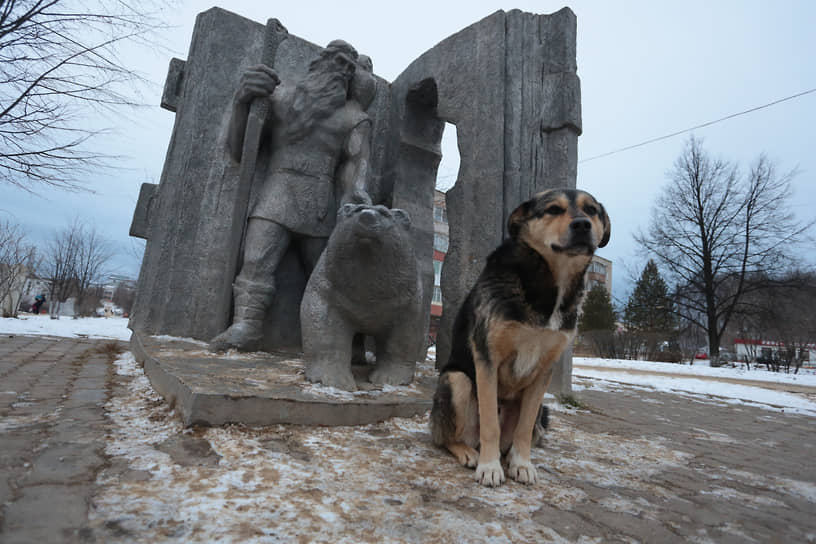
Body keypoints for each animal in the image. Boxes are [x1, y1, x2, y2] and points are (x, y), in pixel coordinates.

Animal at [430, 189, 608, 486]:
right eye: (553, 209)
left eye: (591, 210)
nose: (582, 225)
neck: (551, 284)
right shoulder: (487, 359)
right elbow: (490, 424)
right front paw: (490, 467)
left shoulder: (544, 371)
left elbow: (523, 430)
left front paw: (522, 464)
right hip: (457, 381)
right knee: (445, 437)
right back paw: (469, 452)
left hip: (539, 409)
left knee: (518, 435)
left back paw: (509, 457)